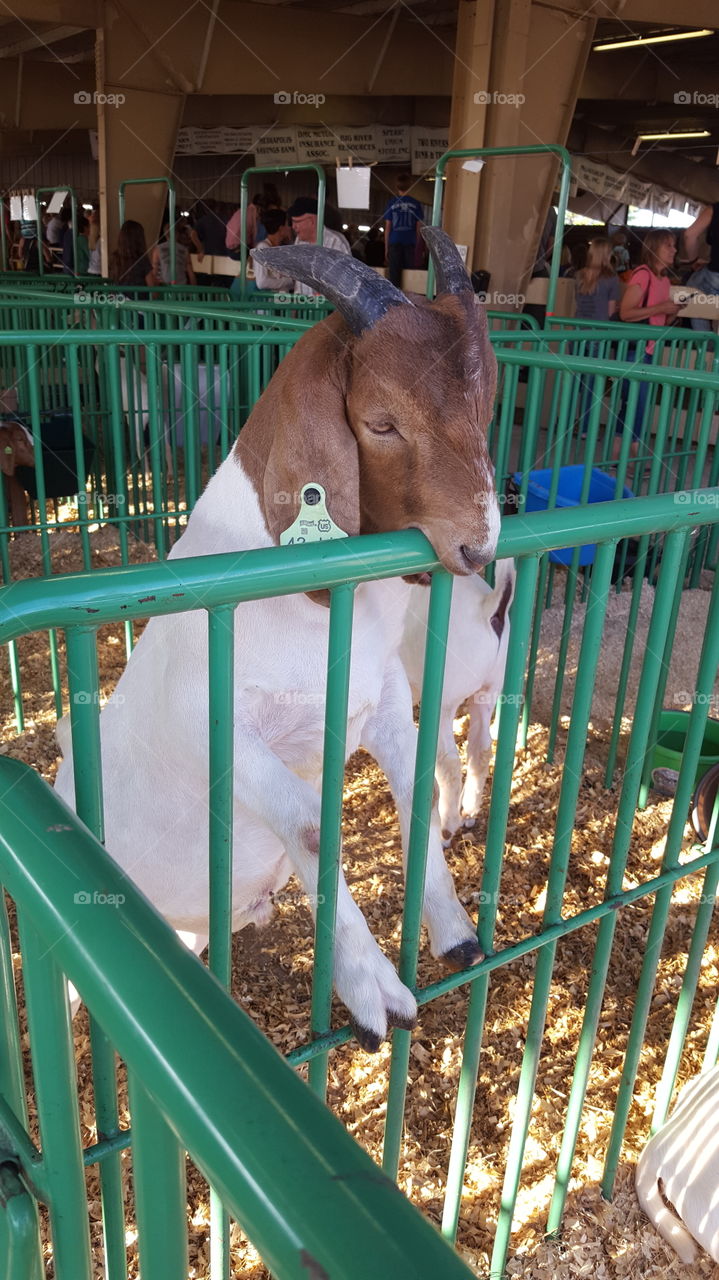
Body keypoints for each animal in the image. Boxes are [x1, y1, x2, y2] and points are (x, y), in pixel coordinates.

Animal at [55, 228, 501, 1051]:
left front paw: (455, 932)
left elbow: (418, 789)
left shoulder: (380, 699)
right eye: (382, 422)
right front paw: (375, 994)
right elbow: (311, 825)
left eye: (485, 404)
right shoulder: (214, 728)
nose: (478, 547)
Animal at [400, 559, 515, 845]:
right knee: (481, 747)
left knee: (448, 760)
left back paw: (446, 827)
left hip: (444, 698)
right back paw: (469, 812)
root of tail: (487, 607)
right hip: (489, 689)